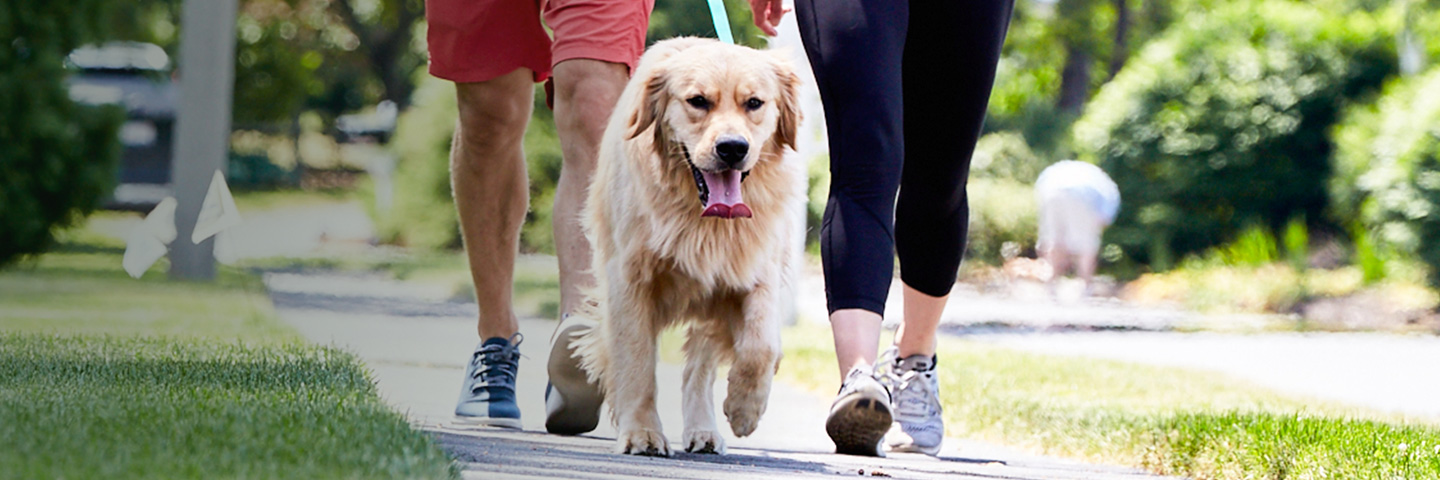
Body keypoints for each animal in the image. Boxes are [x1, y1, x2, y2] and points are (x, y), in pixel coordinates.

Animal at [567, 38, 806, 455]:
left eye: (754, 103)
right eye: (698, 101)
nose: (732, 148)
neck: (703, 220)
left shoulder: (757, 273)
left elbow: (762, 346)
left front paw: (744, 408)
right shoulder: (628, 280)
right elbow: (637, 361)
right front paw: (642, 431)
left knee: (698, 369)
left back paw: (704, 430)